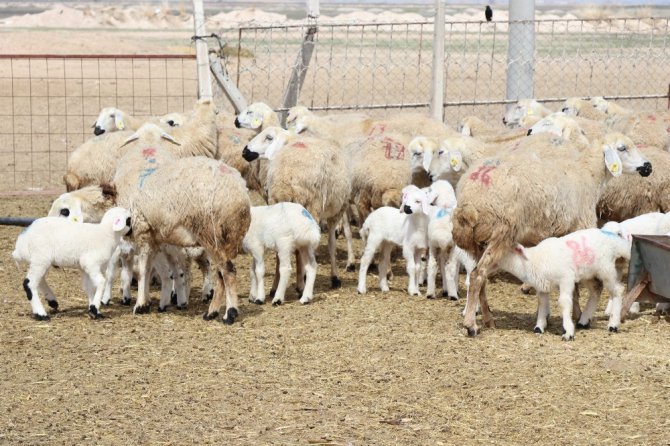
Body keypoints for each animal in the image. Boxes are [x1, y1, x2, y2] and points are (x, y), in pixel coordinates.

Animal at [498, 226, 636, 342]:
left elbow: (564, 302)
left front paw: (568, 331)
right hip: (587, 273)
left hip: (606, 269)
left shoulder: (566, 278)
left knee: (617, 290)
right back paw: (584, 321)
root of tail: (615, 241)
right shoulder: (542, 286)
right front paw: (539, 327)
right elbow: (542, 304)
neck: (533, 260)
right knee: (596, 290)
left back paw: (613, 324)